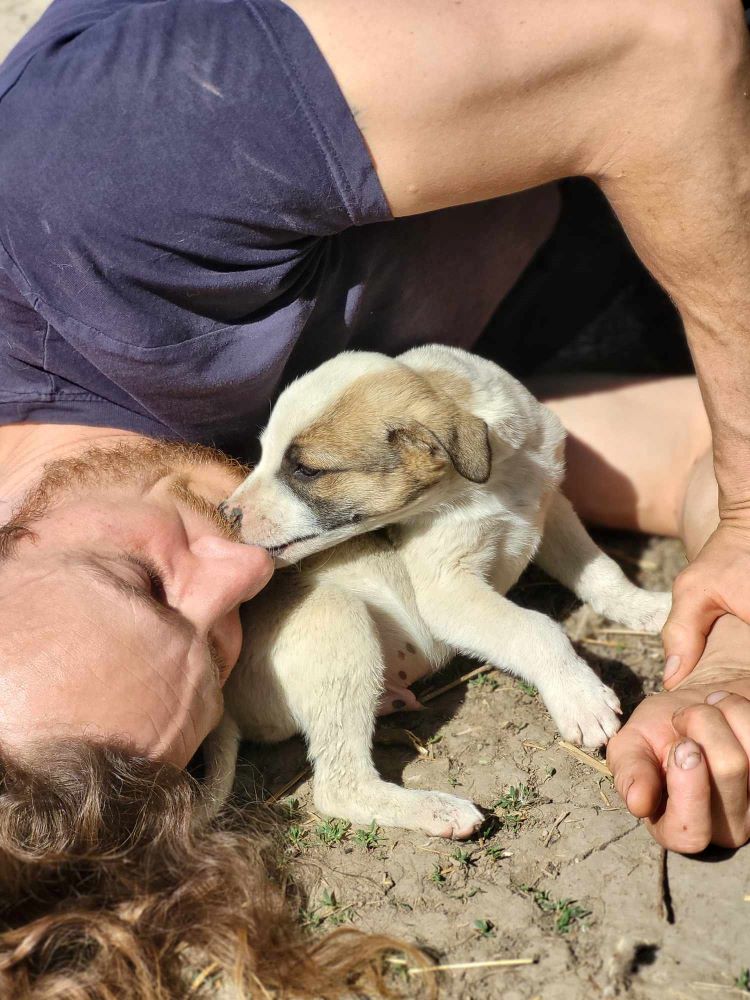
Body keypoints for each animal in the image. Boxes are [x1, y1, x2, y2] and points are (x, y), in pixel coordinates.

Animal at [206, 348, 668, 840]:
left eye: (307, 470)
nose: (226, 514)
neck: (491, 482)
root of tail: (226, 701)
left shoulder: (552, 509)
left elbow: (602, 571)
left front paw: (647, 608)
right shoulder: (446, 589)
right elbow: (535, 628)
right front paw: (580, 698)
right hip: (337, 617)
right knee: (339, 787)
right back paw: (439, 810)